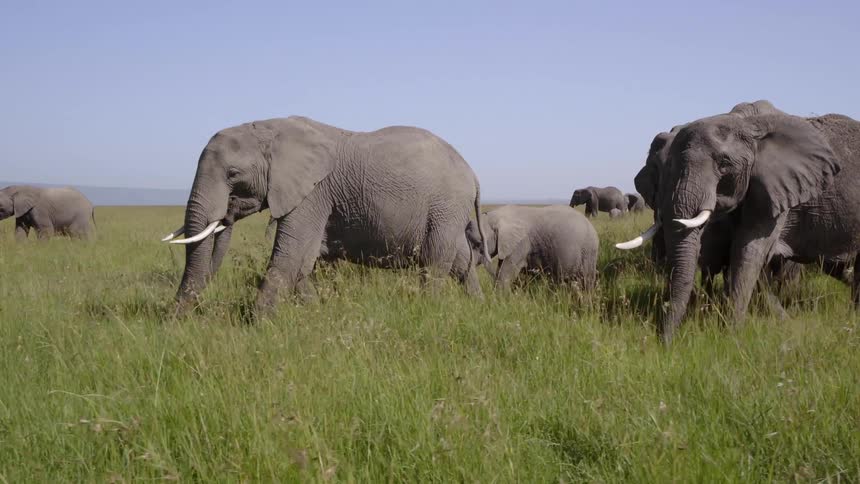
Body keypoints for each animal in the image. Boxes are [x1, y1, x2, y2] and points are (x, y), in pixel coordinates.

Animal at [161, 116, 491, 314]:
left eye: (232, 174)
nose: (175, 318)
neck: (268, 128)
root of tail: (473, 174)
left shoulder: (313, 193)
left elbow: (290, 255)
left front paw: (256, 324)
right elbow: (304, 261)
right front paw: (314, 311)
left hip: (445, 206)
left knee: (435, 261)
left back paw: (429, 309)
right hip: (448, 210)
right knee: (459, 259)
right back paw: (478, 307)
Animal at [465, 205, 598, 290]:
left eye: (478, 244)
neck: (497, 215)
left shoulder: (521, 243)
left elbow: (506, 273)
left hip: (588, 252)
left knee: (586, 281)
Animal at [627, 106, 860, 343]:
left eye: (724, 164)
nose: (663, 343)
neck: (747, 125)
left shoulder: (779, 190)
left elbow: (750, 251)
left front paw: (730, 335)